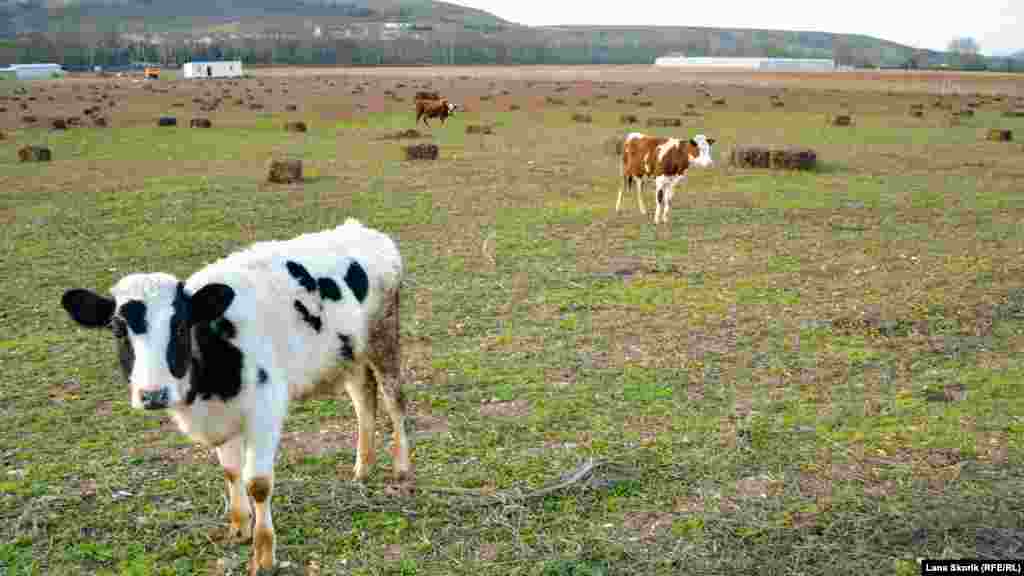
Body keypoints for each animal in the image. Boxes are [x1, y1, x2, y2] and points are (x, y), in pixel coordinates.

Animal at [59, 217, 407, 569]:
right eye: (117, 330)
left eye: (181, 326)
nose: (153, 394)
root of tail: (360, 229)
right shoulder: (221, 414)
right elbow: (231, 471)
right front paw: (239, 527)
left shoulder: (266, 411)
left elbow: (258, 484)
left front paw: (263, 554)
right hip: (349, 356)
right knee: (364, 401)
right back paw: (362, 468)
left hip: (384, 337)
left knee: (395, 401)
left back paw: (401, 468)